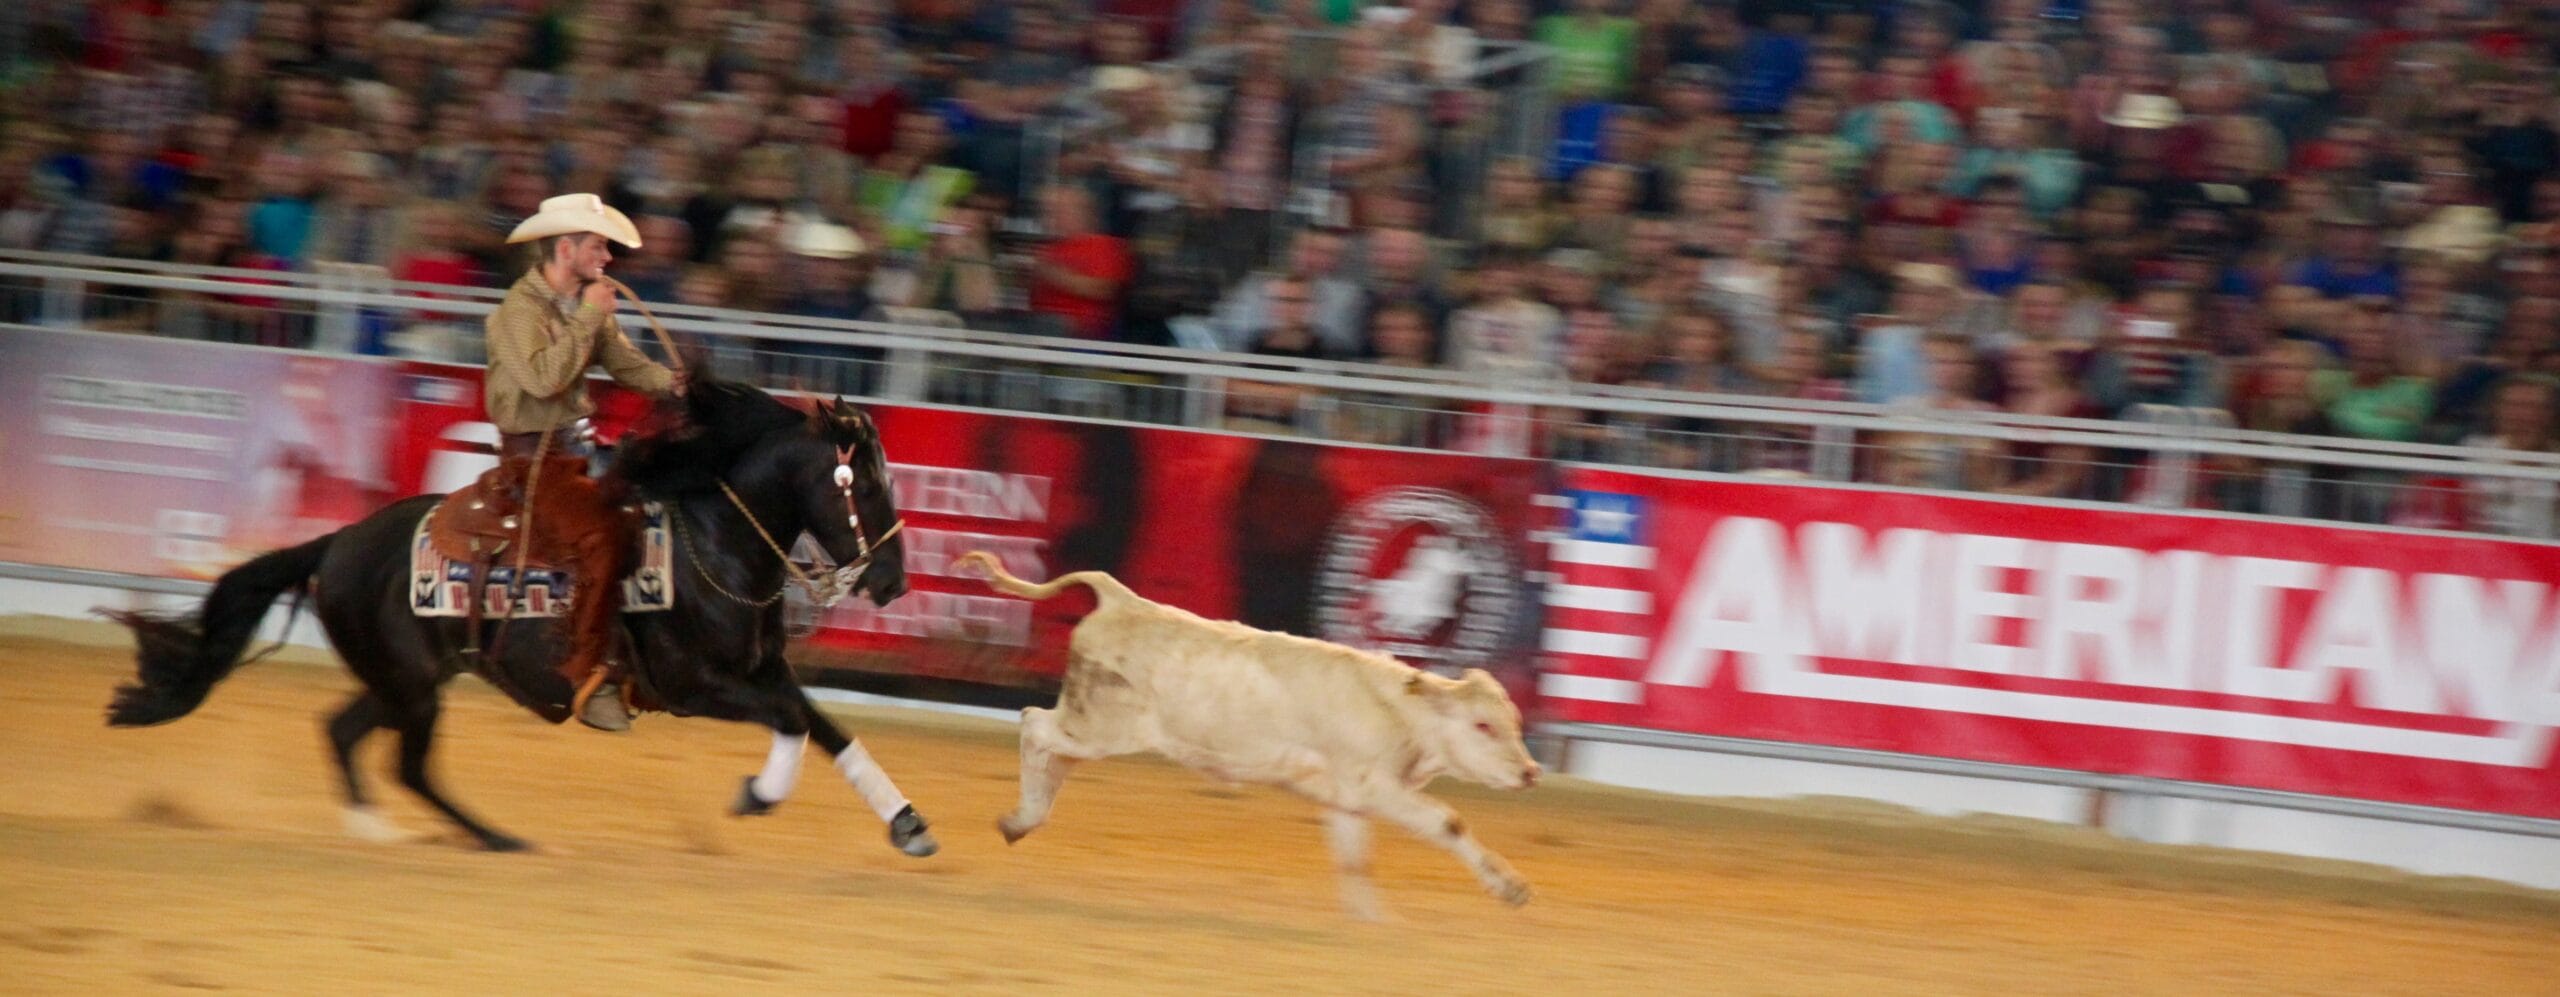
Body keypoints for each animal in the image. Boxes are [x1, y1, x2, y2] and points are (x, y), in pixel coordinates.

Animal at [101, 377, 936, 857]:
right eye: (862, 482)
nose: (893, 579)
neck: (717, 543)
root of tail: (339, 540)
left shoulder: (766, 671)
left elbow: (828, 727)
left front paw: (908, 824)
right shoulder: (693, 685)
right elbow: (793, 723)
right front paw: (758, 794)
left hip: (401, 678)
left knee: (343, 731)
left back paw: (380, 829)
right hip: (412, 685)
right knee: (408, 764)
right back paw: (494, 837)